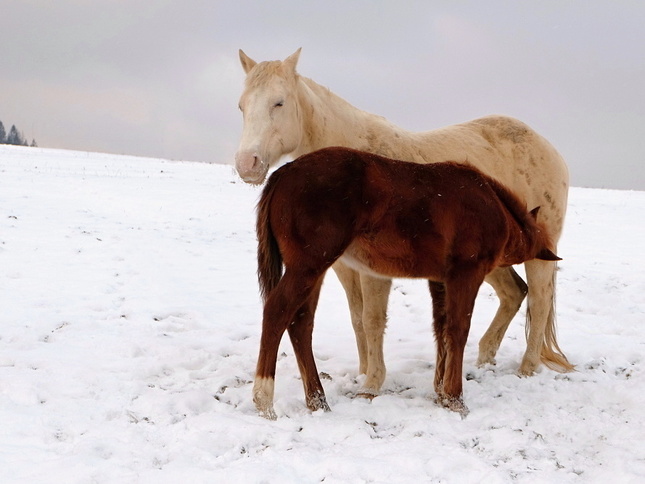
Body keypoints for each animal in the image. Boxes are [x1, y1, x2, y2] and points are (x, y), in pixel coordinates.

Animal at [234, 49, 572, 398]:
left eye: (279, 102)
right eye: (242, 106)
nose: (247, 165)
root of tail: (545, 146)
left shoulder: (374, 270)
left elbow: (372, 318)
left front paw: (372, 383)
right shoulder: (344, 267)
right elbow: (357, 317)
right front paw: (363, 371)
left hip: (536, 252)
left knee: (539, 299)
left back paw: (526, 368)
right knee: (514, 293)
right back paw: (484, 358)